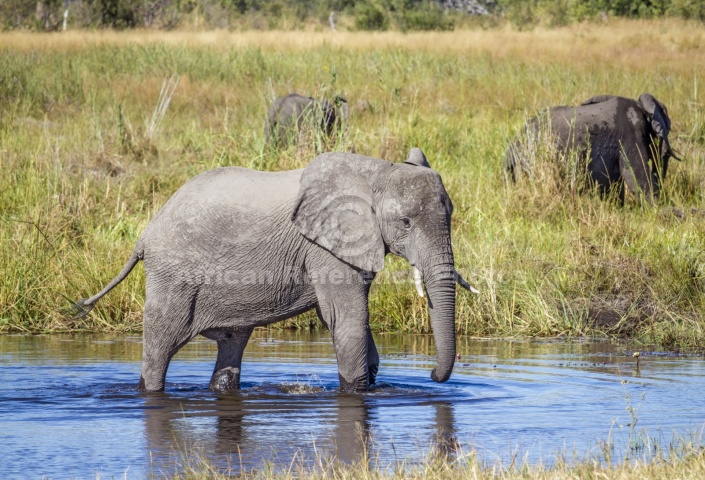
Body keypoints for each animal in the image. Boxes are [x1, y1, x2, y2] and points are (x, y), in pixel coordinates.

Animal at [69, 148, 476, 392]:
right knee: (160, 346)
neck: (376, 171)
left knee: (232, 345)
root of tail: (145, 235)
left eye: (451, 213)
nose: (432, 375)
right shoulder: (324, 247)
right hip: (173, 278)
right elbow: (345, 318)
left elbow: (344, 318)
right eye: (405, 222)